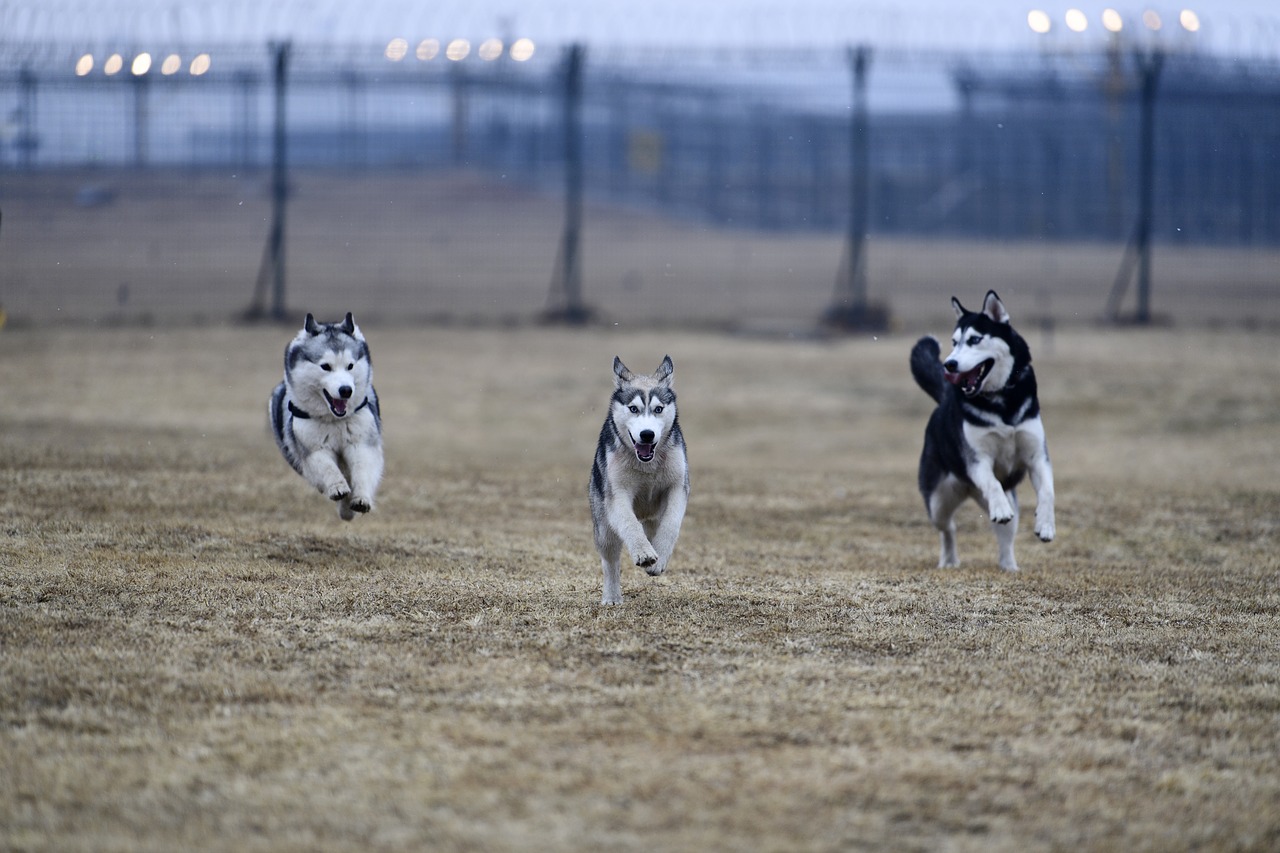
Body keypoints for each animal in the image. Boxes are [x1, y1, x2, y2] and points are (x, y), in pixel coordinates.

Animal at [271, 308, 381, 514]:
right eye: (325, 366)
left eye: (350, 366)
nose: (346, 390)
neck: (334, 420)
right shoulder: (312, 448)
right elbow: (326, 467)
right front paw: (338, 488)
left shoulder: (362, 442)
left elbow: (362, 469)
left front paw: (361, 498)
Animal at [588, 356, 691, 601]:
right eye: (633, 409)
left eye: (658, 409)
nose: (647, 434)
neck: (647, 465)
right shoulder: (617, 494)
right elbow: (629, 523)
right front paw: (644, 554)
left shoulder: (678, 486)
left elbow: (671, 523)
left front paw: (658, 559)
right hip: (603, 526)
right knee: (610, 560)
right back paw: (612, 597)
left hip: (653, 516)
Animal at [911, 290, 1059, 571]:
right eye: (954, 341)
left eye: (975, 339)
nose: (949, 364)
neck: (1001, 402)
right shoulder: (978, 460)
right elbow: (992, 482)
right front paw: (1000, 508)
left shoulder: (1037, 456)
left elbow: (1047, 491)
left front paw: (1045, 525)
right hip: (938, 503)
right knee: (948, 528)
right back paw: (949, 560)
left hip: (1006, 505)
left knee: (1006, 539)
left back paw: (1009, 567)